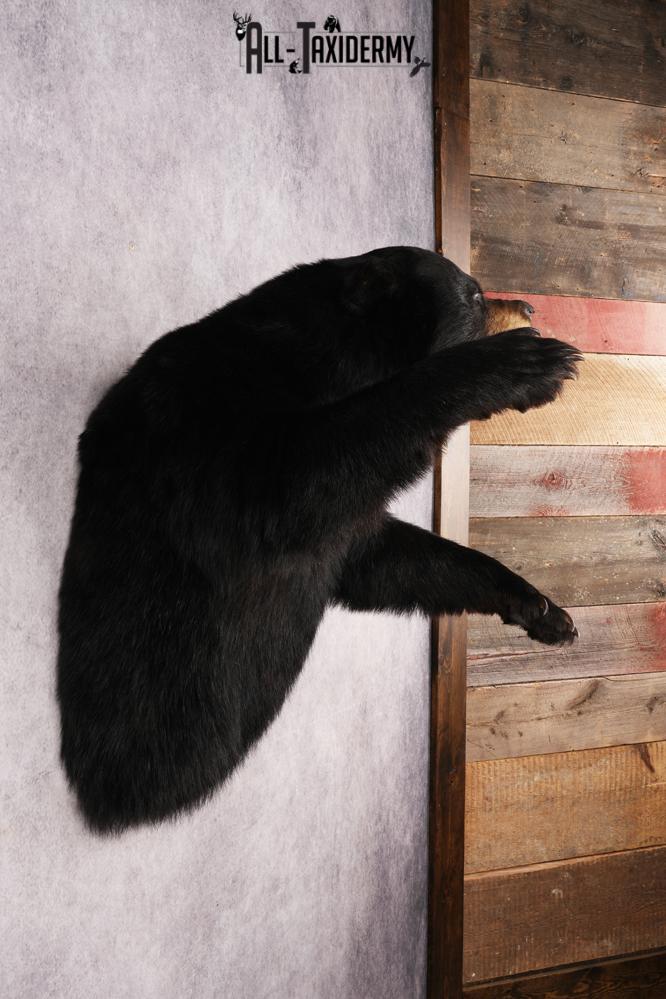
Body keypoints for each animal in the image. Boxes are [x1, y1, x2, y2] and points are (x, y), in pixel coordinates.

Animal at [57, 246, 580, 833]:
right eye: (472, 295)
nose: (530, 306)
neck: (326, 361)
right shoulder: (203, 421)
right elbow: (282, 486)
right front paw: (524, 366)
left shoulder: (345, 524)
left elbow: (384, 556)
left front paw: (539, 606)